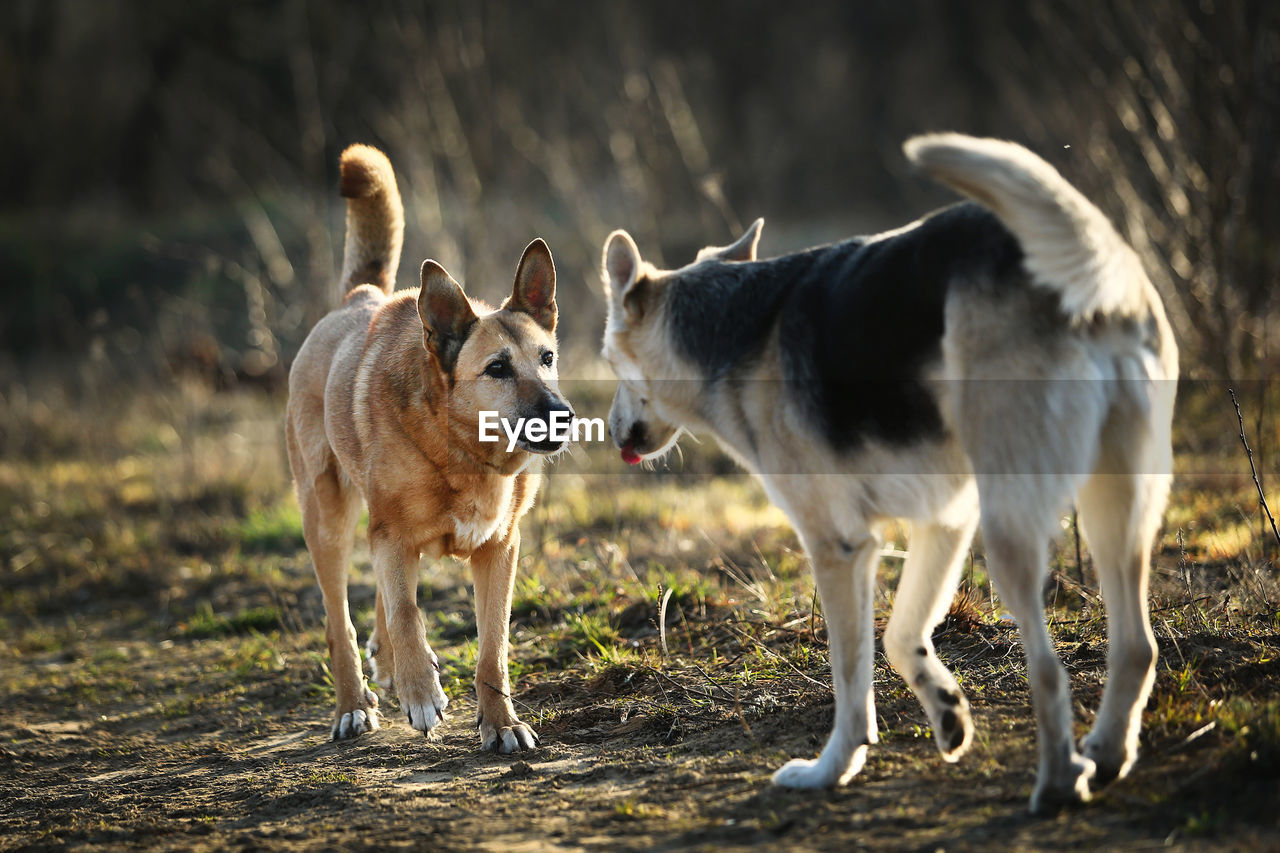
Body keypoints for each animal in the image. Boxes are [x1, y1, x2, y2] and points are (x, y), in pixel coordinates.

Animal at [290, 146, 576, 753]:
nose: (563, 416)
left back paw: (386, 668)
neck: (464, 452)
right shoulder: (394, 535)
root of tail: (359, 298)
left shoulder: (500, 549)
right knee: (340, 619)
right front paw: (421, 693)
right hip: (326, 517)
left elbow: (493, 648)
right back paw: (353, 706)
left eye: (547, 358)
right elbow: (406, 611)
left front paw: (501, 723)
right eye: (497, 369)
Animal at [599, 134, 1177, 809]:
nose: (610, 432)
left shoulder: (838, 546)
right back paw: (1105, 756)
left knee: (1049, 670)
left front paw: (833, 768)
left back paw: (1059, 783)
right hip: (1115, 509)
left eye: (608, 361)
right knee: (1136, 648)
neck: (728, 326)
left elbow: (850, 678)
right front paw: (947, 711)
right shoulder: (944, 521)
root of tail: (1092, 268)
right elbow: (902, 637)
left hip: (1012, 528)